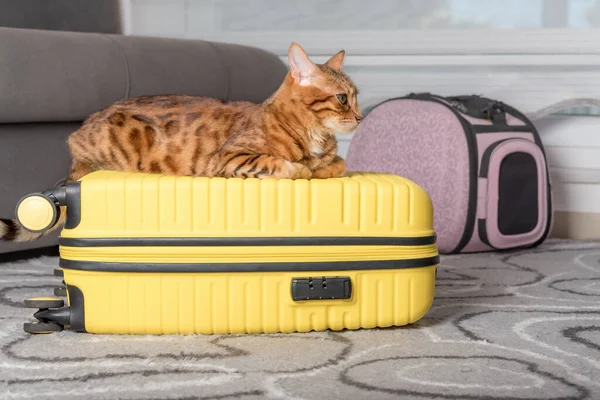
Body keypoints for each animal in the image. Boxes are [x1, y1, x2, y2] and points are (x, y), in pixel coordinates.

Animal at [0, 42, 364, 242]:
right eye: (343, 99)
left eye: (357, 97)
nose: (361, 117)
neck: (314, 135)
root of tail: (77, 139)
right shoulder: (229, 158)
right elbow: (286, 166)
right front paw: (304, 169)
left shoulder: (333, 159)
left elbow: (339, 163)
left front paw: (323, 168)